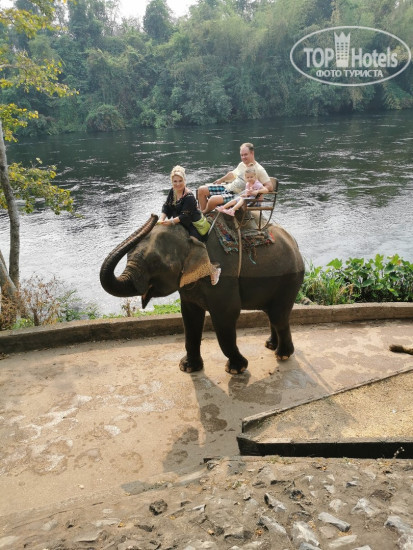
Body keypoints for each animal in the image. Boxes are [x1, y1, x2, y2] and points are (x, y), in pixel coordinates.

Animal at [100, 214, 304, 374]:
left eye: (156, 263)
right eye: (129, 255)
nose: (154, 216)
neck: (190, 236)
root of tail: (294, 242)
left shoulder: (223, 279)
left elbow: (225, 317)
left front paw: (236, 369)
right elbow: (190, 318)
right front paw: (188, 367)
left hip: (289, 280)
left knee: (278, 316)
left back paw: (282, 354)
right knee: (271, 314)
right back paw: (270, 345)